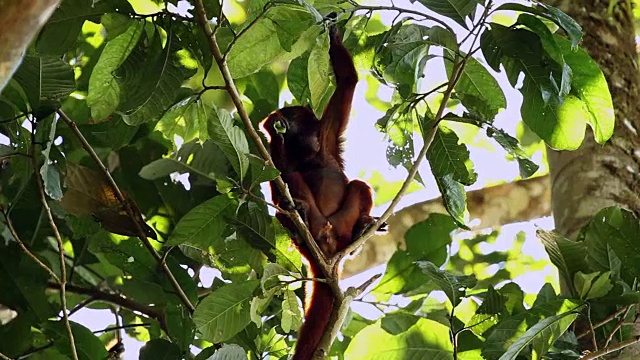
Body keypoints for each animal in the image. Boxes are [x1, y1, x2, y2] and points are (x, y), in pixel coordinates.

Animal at [262, 19, 376, 360]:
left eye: (292, 114)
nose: (280, 119)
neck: (308, 153)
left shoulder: (327, 133)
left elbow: (348, 82)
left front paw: (335, 33)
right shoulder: (278, 156)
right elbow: (278, 177)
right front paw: (271, 131)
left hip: (340, 223)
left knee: (358, 187)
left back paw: (358, 233)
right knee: (292, 183)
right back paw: (299, 218)